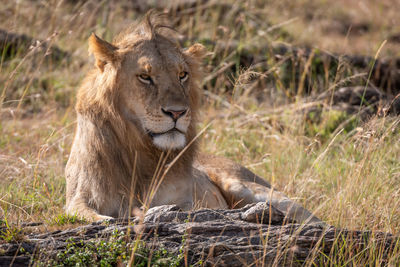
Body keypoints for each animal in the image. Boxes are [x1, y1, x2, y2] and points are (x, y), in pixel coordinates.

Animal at [65, 13, 322, 225]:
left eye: (182, 75)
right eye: (145, 77)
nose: (177, 113)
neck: (140, 151)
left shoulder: (188, 200)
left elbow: (178, 209)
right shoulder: (79, 195)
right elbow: (88, 215)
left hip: (247, 186)